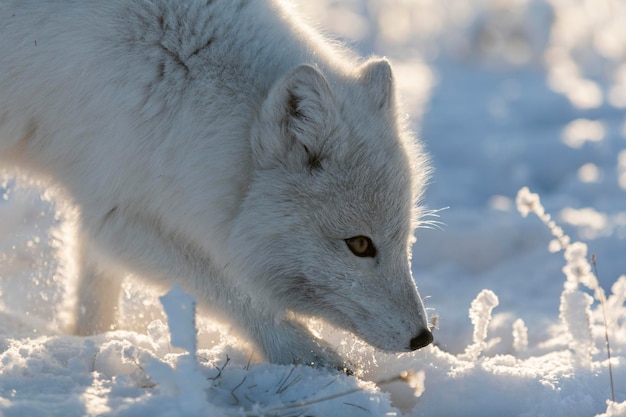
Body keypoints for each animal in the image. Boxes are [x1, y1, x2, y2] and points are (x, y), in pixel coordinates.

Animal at [0, 0, 428, 370]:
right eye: (360, 245)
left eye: (405, 238)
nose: (423, 338)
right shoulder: (119, 214)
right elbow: (233, 291)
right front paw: (306, 354)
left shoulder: (108, 193)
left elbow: (96, 286)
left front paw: (90, 339)